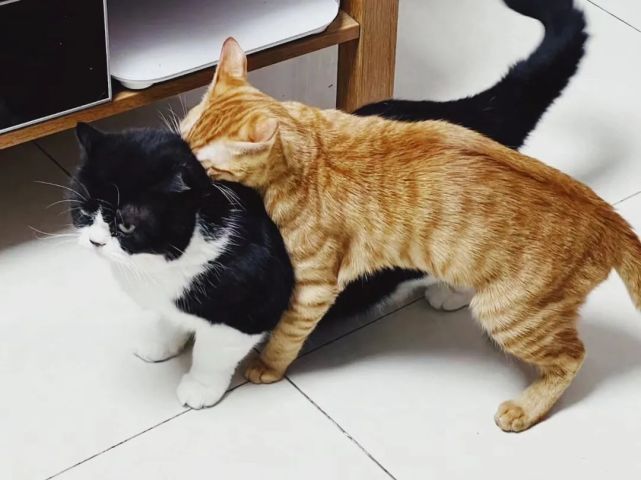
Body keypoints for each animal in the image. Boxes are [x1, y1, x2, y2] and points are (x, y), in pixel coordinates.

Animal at [70, 124, 294, 409]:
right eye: (84, 212)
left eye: (127, 225)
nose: (95, 241)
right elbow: (169, 318)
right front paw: (161, 344)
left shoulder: (253, 308)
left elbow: (213, 354)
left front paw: (199, 388)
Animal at [183, 37, 641, 433]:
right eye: (183, 135)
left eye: (201, 164)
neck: (311, 145)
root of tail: (610, 218)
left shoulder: (314, 286)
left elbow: (286, 332)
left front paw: (268, 366)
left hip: (509, 314)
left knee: (572, 356)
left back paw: (525, 408)